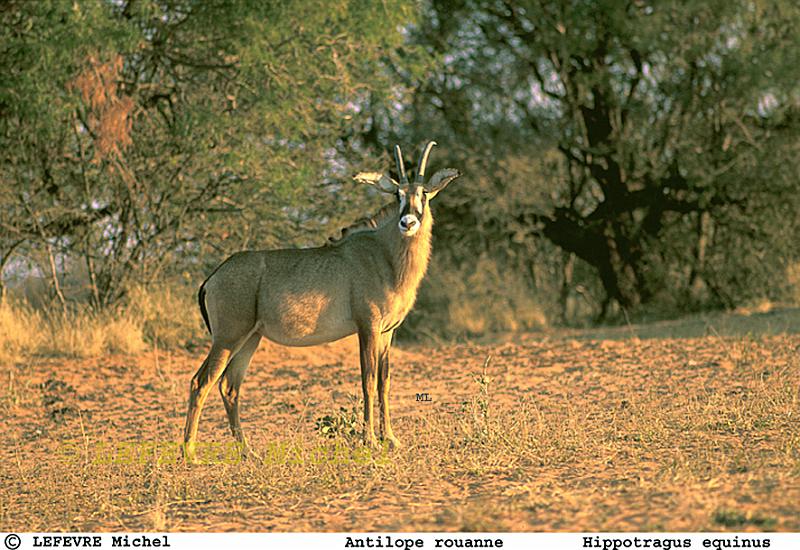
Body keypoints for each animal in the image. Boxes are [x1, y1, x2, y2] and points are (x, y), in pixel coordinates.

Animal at [184, 142, 460, 462]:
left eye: (424, 193)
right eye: (397, 194)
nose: (408, 222)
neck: (386, 255)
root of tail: (213, 276)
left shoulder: (388, 333)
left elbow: (384, 383)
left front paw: (390, 438)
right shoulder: (367, 327)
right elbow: (368, 381)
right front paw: (370, 440)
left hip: (250, 338)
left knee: (229, 387)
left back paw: (248, 452)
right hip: (228, 338)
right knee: (201, 382)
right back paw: (189, 452)